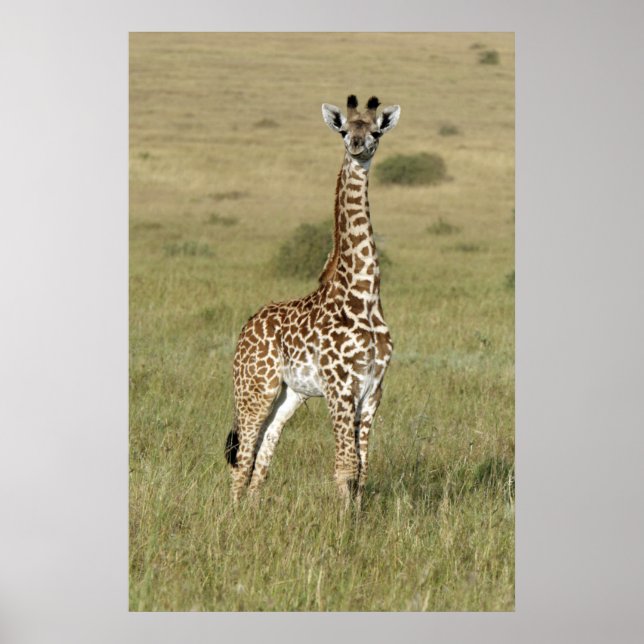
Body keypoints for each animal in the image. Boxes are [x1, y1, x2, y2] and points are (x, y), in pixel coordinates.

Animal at [225, 94, 401, 508]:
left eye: (375, 131)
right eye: (344, 129)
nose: (357, 146)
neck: (364, 295)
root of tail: (246, 327)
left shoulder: (374, 390)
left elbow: (362, 469)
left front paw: (358, 517)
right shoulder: (340, 388)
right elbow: (345, 467)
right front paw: (343, 523)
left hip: (290, 395)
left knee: (263, 453)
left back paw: (251, 512)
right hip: (255, 387)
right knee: (243, 456)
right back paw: (231, 515)